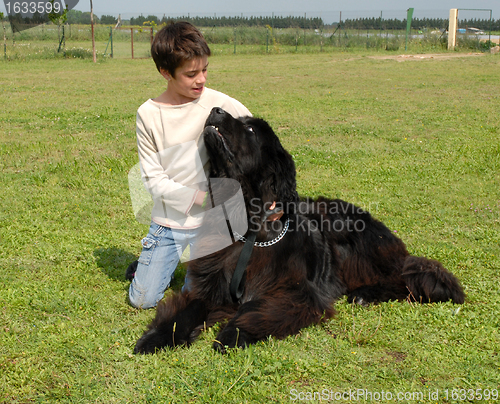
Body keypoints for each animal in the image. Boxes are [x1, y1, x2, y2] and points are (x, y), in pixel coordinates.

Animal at [134, 107, 464, 354]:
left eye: (250, 131)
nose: (215, 109)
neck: (251, 225)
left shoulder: (297, 292)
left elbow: (257, 311)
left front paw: (231, 335)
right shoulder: (212, 285)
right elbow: (184, 311)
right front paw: (156, 338)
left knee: (404, 277)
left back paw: (367, 294)